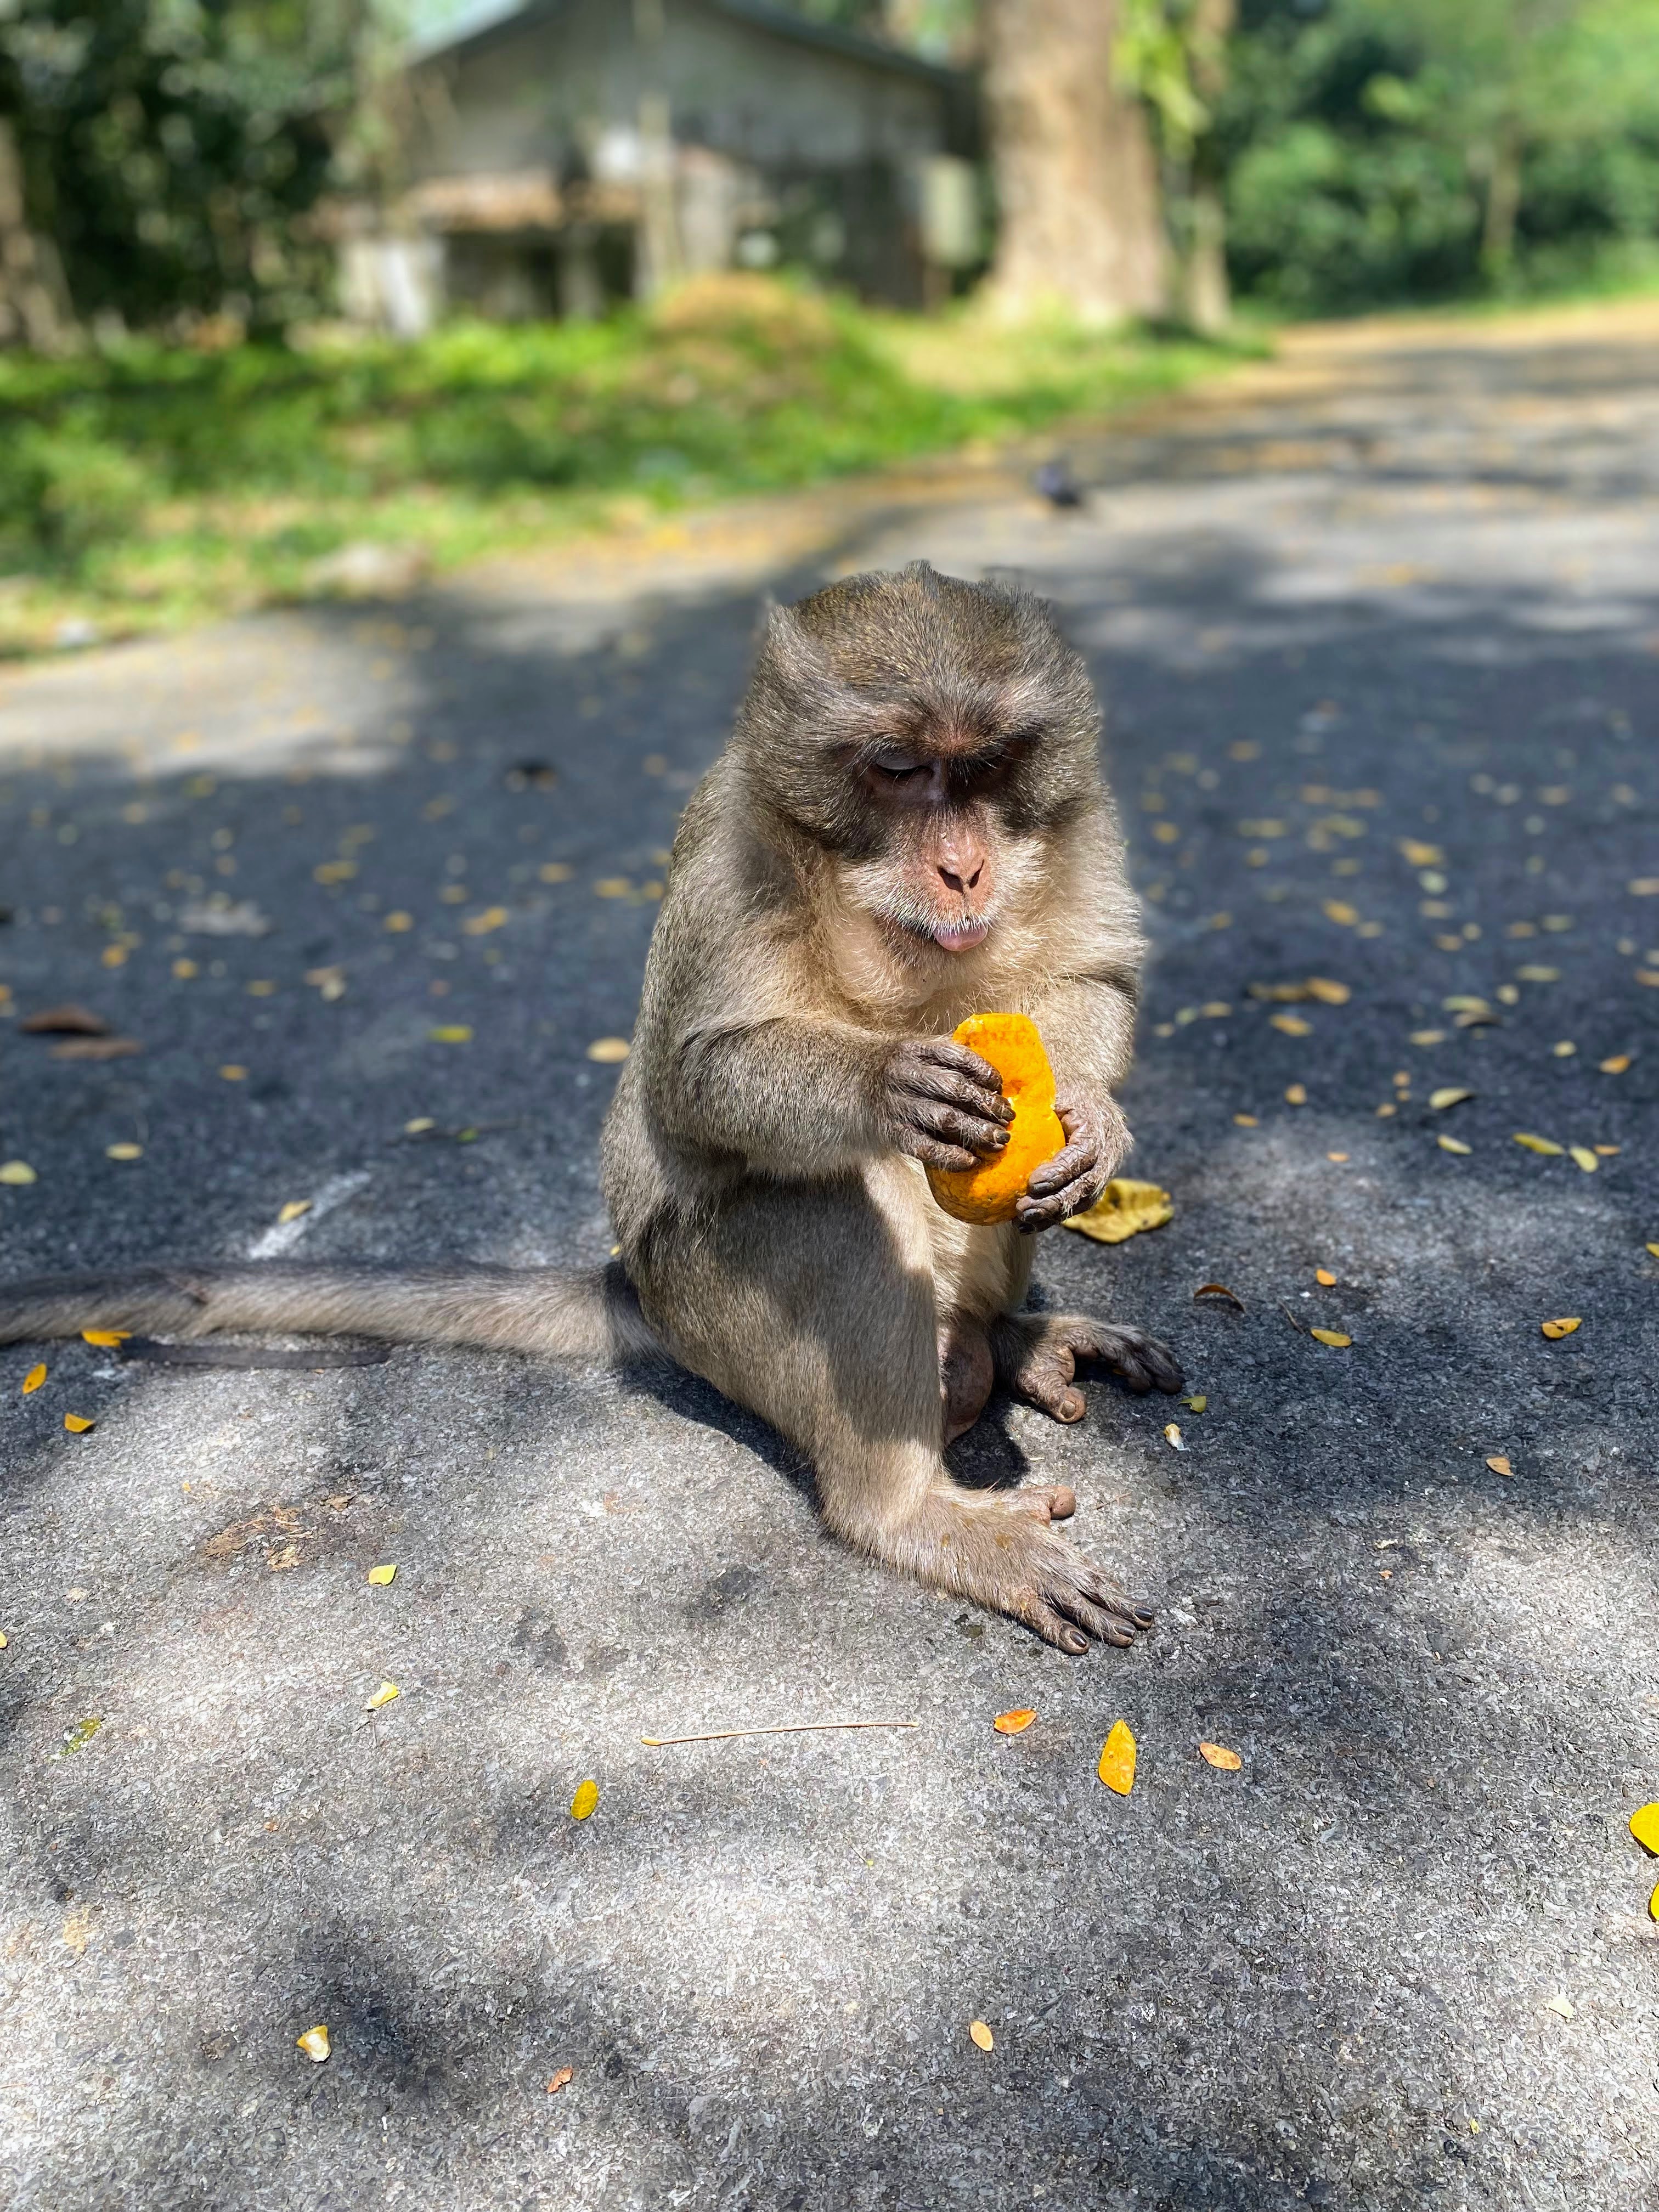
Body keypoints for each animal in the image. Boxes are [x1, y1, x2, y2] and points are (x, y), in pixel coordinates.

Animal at [0, 562, 1186, 1654]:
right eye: (898, 768)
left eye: (985, 767)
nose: (961, 868)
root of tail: (636, 1292)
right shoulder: (735, 856)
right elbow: (694, 1077)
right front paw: (888, 1084)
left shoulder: (1079, 815)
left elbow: (1093, 979)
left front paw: (1091, 1118)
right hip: (710, 1303)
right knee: (843, 1204)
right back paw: (902, 1512)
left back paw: (1013, 1337)